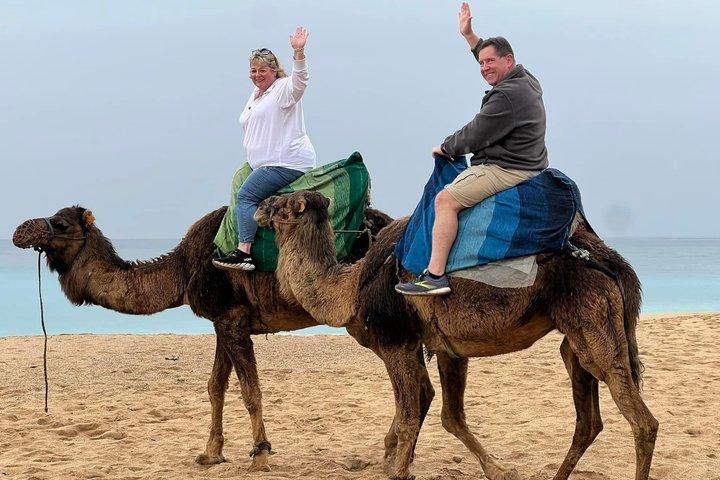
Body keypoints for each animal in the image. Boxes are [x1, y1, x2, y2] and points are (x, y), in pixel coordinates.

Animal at [12, 204, 426, 473]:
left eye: (60, 223)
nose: (20, 231)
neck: (183, 270)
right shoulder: (221, 322)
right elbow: (215, 387)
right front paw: (210, 454)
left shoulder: (232, 318)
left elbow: (250, 390)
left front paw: (261, 455)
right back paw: (391, 456)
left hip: (368, 318)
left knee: (409, 387)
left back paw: (393, 457)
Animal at [255, 190, 659, 480]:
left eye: (284, 203)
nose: (258, 206)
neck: (350, 289)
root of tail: (607, 257)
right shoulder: (446, 348)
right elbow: (447, 414)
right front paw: (496, 469)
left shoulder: (396, 342)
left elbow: (409, 414)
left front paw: (398, 469)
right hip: (576, 338)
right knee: (588, 419)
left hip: (592, 319)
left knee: (642, 420)